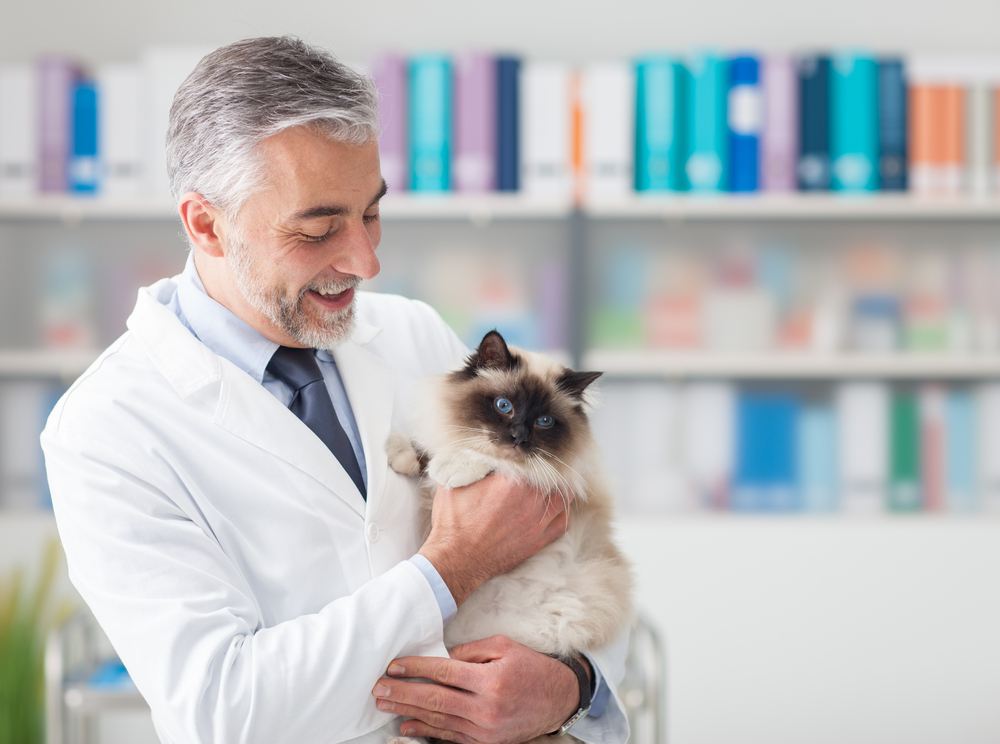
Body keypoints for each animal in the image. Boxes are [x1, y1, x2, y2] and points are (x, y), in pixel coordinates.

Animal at [384, 332, 632, 744]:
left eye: (545, 421)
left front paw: (453, 468)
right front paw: (400, 455)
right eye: (504, 406)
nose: (518, 437)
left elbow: (489, 461)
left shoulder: (556, 478)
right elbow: (431, 446)